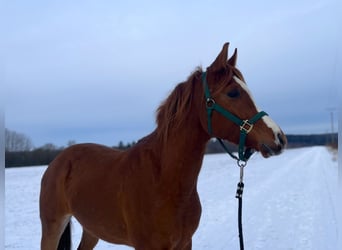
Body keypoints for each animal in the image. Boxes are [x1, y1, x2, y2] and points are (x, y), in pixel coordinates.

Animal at [39, 43, 286, 250]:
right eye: (233, 93)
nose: (279, 138)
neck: (163, 179)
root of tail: (59, 161)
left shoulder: (185, 243)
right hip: (52, 227)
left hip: (92, 229)